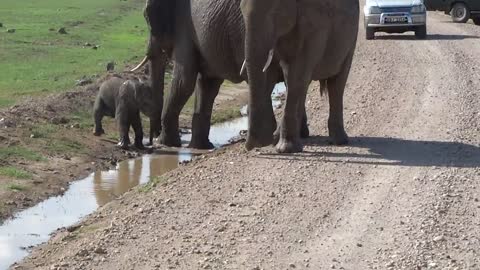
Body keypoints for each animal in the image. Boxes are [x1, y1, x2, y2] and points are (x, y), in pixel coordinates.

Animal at [132, 0, 312, 150]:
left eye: (146, 16)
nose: (152, 141)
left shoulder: (184, 29)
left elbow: (184, 82)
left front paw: (168, 144)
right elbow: (207, 84)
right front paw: (200, 147)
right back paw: (297, 135)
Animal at [242, 0, 358, 152]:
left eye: (275, 12)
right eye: (241, 11)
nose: (254, 145)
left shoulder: (314, 26)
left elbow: (297, 74)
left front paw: (285, 149)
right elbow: (285, 74)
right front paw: (276, 142)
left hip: (351, 41)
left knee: (337, 84)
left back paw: (339, 141)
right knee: (304, 85)